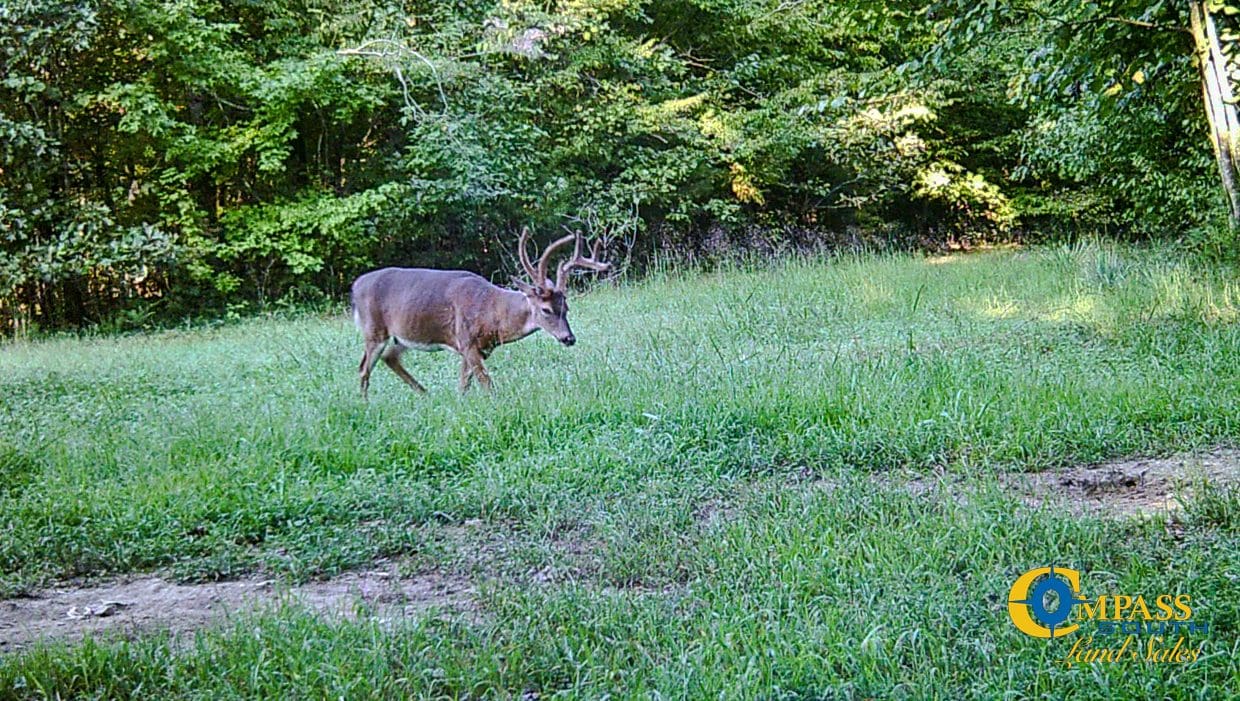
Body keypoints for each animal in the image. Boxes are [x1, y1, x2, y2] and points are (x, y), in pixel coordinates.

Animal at [349, 227, 610, 397]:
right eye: (545, 309)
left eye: (566, 307)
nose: (569, 338)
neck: (492, 312)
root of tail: (356, 286)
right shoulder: (466, 340)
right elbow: (486, 383)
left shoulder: (474, 348)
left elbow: (464, 384)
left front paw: (461, 403)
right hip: (374, 329)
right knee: (364, 368)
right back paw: (365, 403)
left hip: (403, 335)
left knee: (389, 357)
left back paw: (424, 393)